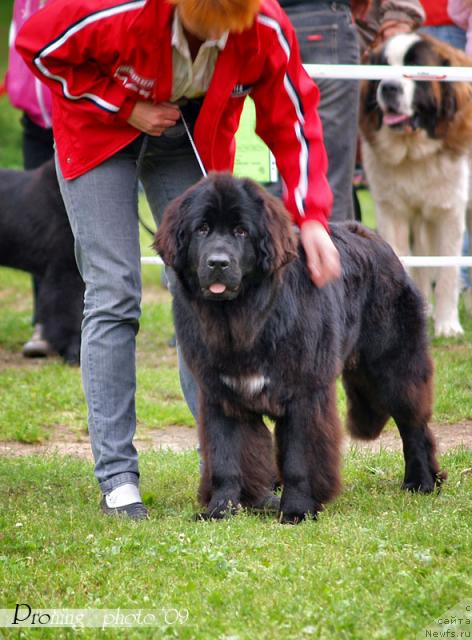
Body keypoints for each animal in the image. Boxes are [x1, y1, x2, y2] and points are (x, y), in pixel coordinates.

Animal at [157, 171, 448, 524]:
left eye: (241, 231)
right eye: (202, 229)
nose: (217, 262)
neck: (243, 316)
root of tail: (375, 239)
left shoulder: (304, 394)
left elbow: (298, 457)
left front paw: (296, 510)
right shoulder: (220, 394)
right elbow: (226, 456)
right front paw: (221, 509)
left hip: (392, 363)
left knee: (412, 421)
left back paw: (420, 482)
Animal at [360, 34, 470, 338]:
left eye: (414, 69)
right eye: (383, 66)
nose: (389, 87)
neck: (414, 153)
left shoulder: (449, 212)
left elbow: (447, 272)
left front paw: (448, 325)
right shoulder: (392, 212)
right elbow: (403, 260)